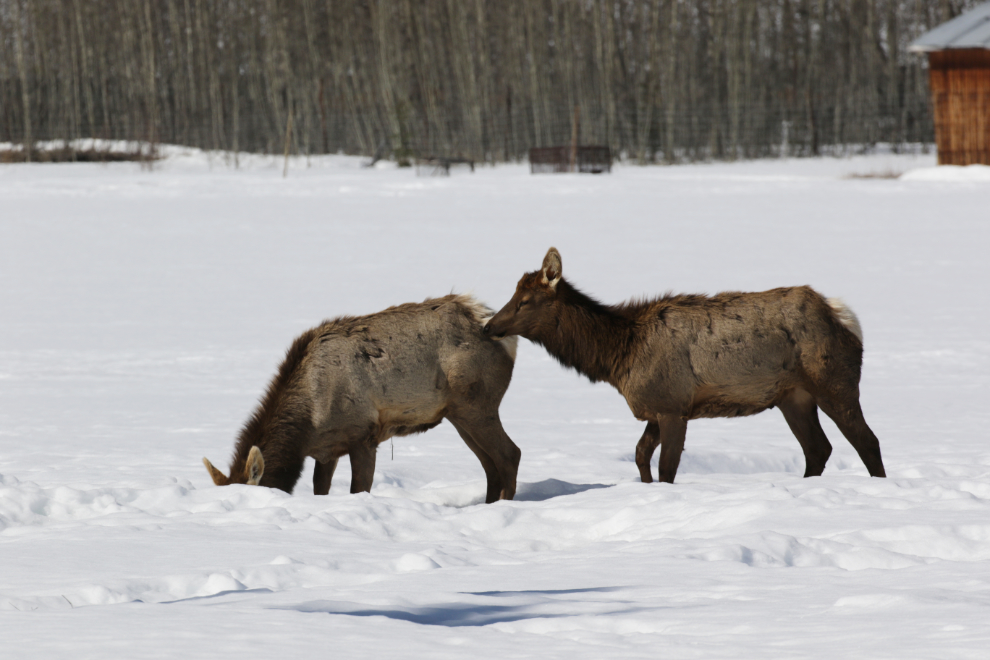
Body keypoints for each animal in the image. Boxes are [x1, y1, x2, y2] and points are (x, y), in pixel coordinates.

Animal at [203, 294, 521, 503]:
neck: (309, 422)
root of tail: (504, 335)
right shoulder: (327, 450)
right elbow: (321, 489)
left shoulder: (364, 436)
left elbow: (359, 490)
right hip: (457, 414)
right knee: (490, 464)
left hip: (477, 405)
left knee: (509, 454)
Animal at [484, 248, 885, 484]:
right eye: (513, 294)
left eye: (525, 300)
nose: (488, 326)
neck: (618, 359)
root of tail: (845, 318)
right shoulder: (655, 408)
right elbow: (640, 456)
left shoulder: (673, 406)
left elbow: (667, 467)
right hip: (793, 396)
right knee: (818, 449)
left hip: (834, 381)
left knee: (867, 441)